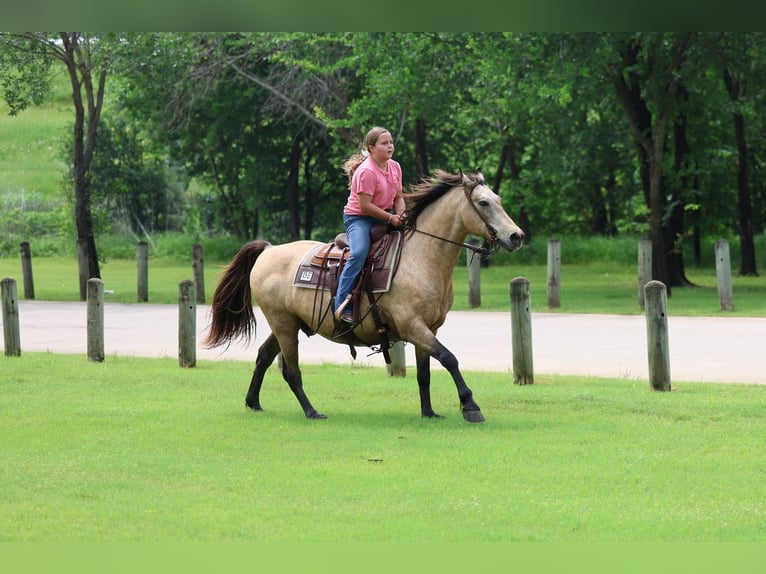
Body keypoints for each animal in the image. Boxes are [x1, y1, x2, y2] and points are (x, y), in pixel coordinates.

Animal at [203, 169, 525, 423]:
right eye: (483, 203)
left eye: (498, 200)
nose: (516, 236)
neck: (420, 257)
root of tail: (269, 250)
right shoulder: (413, 326)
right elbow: (449, 358)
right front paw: (471, 406)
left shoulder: (429, 329)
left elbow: (425, 372)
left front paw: (429, 411)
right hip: (283, 324)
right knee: (291, 371)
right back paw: (312, 411)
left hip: (287, 323)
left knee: (263, 356)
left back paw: (253, 402)